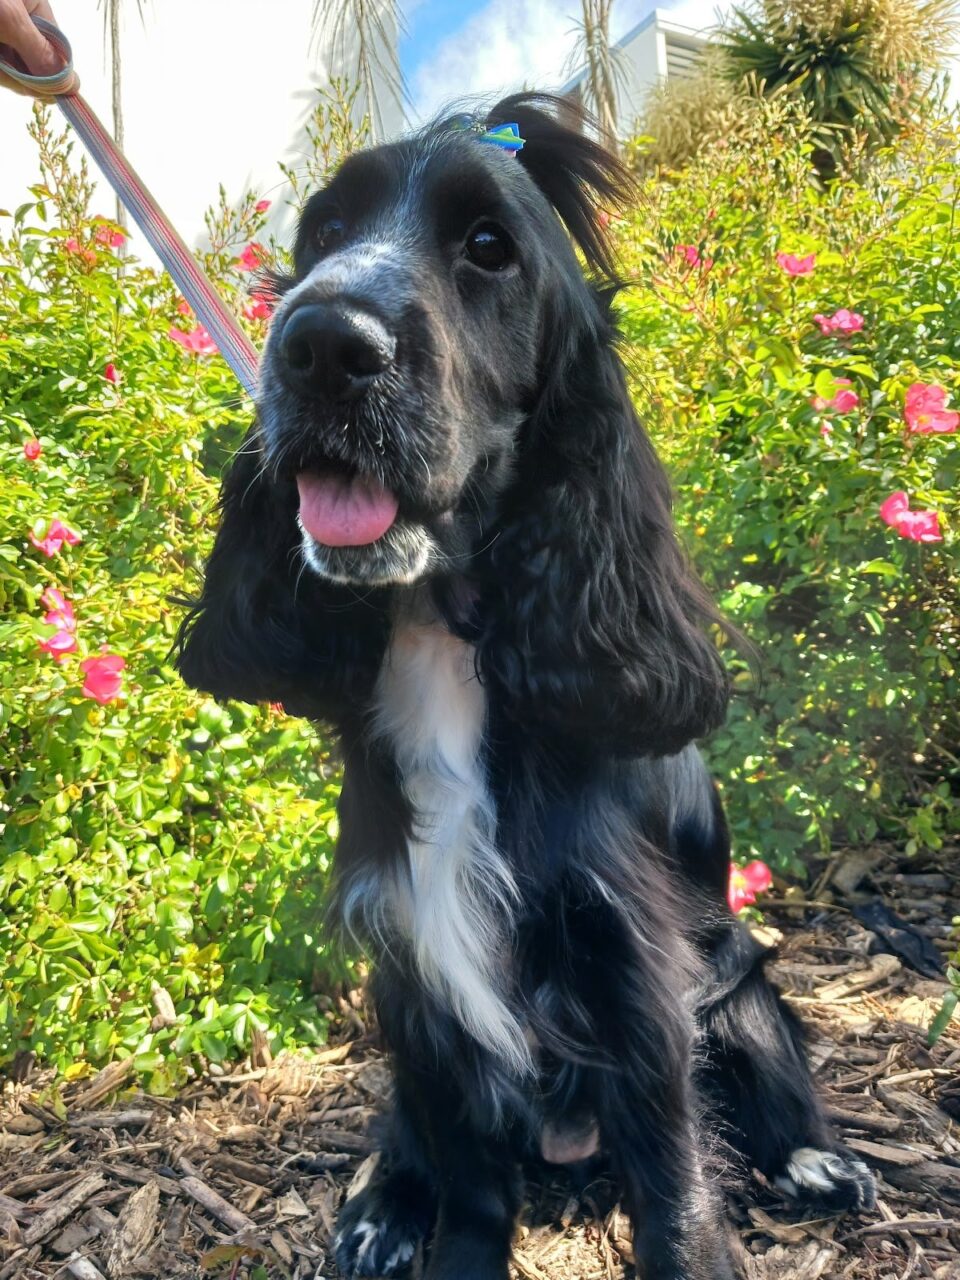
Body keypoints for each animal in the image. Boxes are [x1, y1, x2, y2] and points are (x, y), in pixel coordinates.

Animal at [176, 93, 875, 1280]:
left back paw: (816, 1159)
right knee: (408, 1135)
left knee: (766, 1062)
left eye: (488, 247)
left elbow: (676, 1182)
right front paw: (431, 1229)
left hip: (736, 976)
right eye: (322, 234)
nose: (320, 344)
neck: (447, 640)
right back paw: (379, 1208)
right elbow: (465, 1176)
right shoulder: (414, 966)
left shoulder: (633, 967)